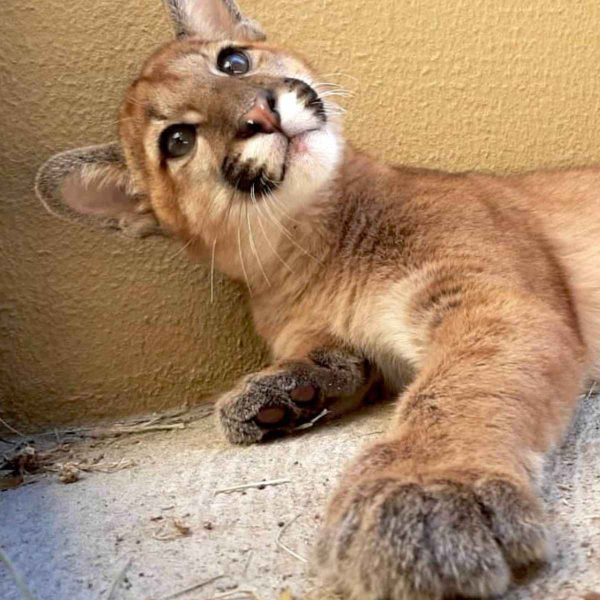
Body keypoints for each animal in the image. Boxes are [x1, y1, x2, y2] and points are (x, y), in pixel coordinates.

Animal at [36, 1, 600, 600]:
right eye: (178, 141)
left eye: (232, 62)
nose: (260, 113)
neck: (316, 247)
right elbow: (335, 356)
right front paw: (286, 393)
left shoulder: (493, 302)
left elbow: (454, 388)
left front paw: (427, 489)